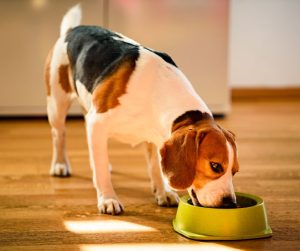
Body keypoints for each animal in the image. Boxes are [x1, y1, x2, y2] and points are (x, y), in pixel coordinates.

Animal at [44, 4, 240, 215]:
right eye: (215, 166)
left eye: (235, 171)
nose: (230, 203)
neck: (157, 88)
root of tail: (72, 30)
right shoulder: (97, 122)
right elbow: (102, 172)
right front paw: (108, 198)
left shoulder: (155, 137)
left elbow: (155, 167)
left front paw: (163, 192)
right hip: (57, 105)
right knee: (59, 136)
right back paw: (60, 165)